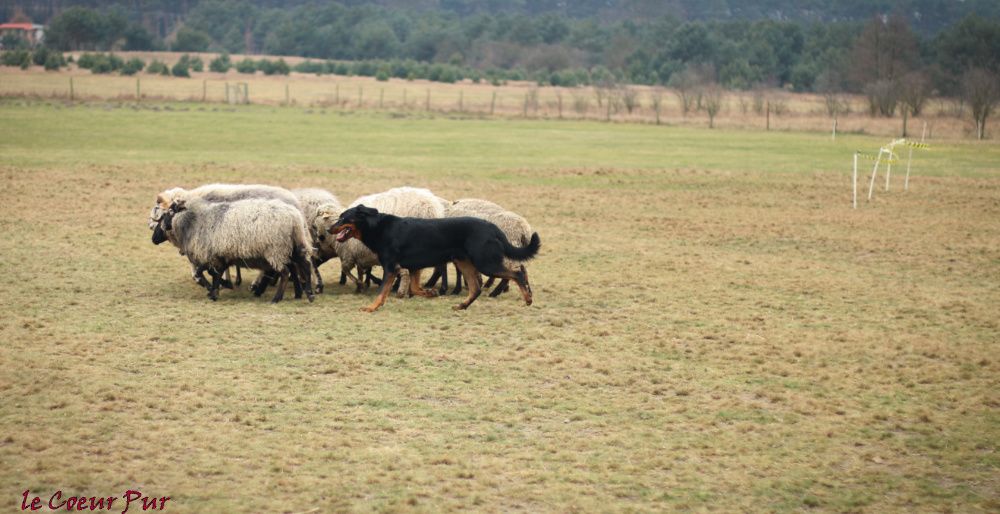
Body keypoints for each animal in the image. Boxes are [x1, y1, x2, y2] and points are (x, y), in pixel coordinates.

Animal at [151, 196, 314, 303]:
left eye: (170, 212)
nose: (153, 238)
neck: (195, 220)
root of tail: (295, 218)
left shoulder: (209, 255)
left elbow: (203, 273)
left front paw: (214, 291)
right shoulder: (218, 256)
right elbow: (214, 274)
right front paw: (216, 290)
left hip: (276, 249)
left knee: (285, 272)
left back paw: (277, 298)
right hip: (293, 246)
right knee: (303, 266)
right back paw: (307, 294)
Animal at [330, 204, 540, 312]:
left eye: (343, 218)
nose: (329, 228)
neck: (377, 227)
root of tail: (493, 228)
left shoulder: (391, 267)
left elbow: (383, 291)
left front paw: (371, 307)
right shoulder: (413, 267)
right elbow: (415, 288)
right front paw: (431, 292)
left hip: (485, 262)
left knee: (517, 273)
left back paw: (528, 298)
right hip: (464, 262)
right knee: (476, 288)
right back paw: (462, 305)